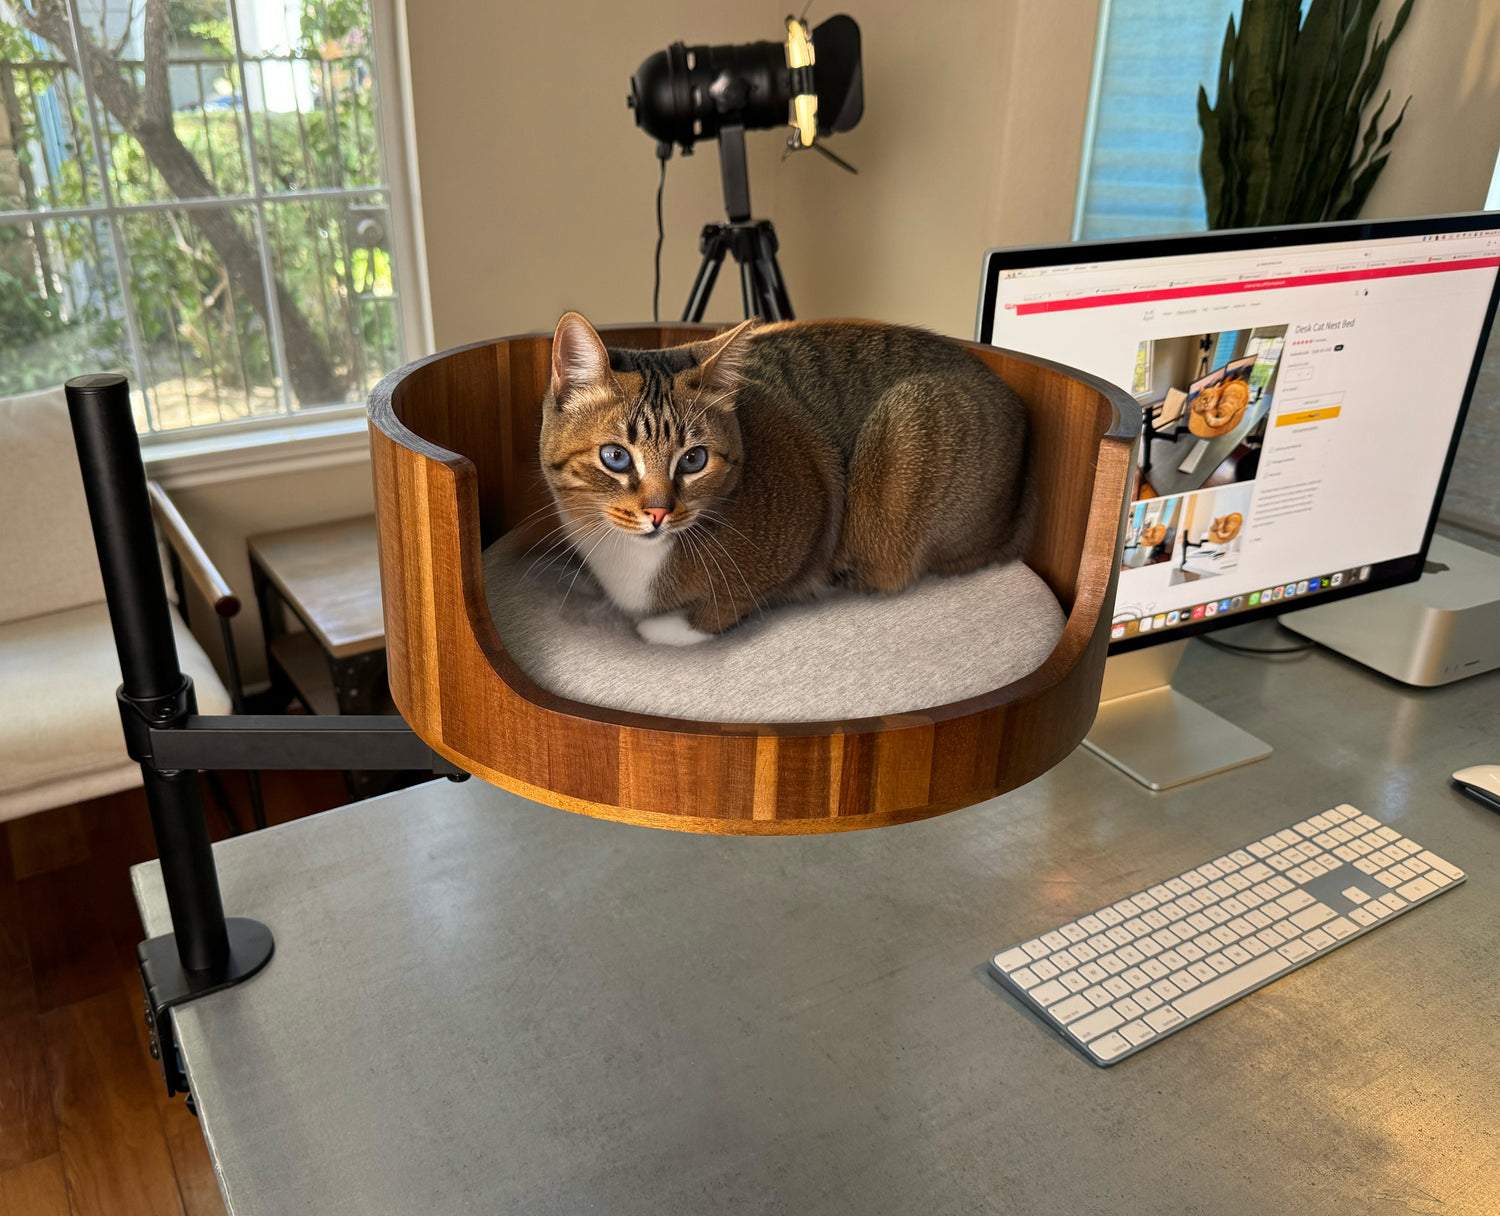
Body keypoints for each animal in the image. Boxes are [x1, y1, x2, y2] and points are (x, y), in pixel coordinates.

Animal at [540, 311, 1032, 647]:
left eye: (694, 459)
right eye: (616, 457)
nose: (659, 512)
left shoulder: (814, 507)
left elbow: (737, 599)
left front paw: (675, 628)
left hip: (907, 421)